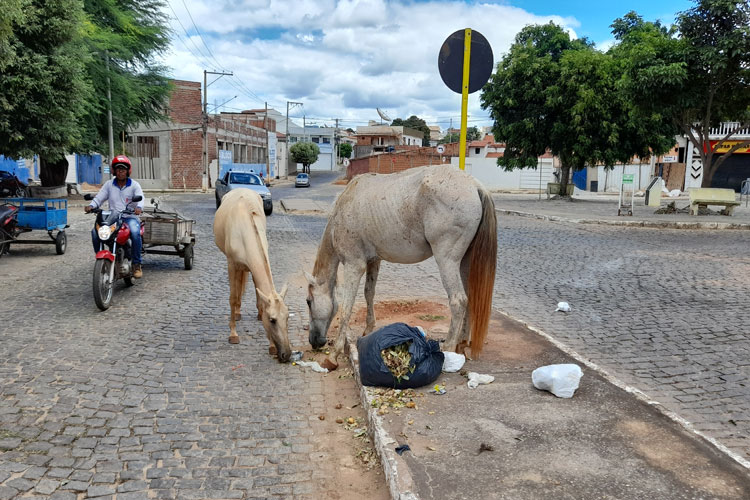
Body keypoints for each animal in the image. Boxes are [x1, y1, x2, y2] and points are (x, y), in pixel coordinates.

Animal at [214, 189, 294, 362]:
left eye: (287, 317)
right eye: (272, 320)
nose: (286, 354)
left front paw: (271, 346)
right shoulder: (231, 265)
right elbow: (233, 298)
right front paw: (233, 334)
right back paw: (237, 314)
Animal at [306, 164, 500, 364]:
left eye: (308, 302)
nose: (314, 341)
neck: (343, 207)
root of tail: (476, 186)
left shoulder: (354, 265)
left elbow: (346, 308)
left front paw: (334, 354)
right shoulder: (374, 261)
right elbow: (369, 293)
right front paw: (368, 329)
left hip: (447, 261)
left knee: (458, 301)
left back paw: (448, 349)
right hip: (465, 262)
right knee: (470, 298)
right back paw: (462, 343)